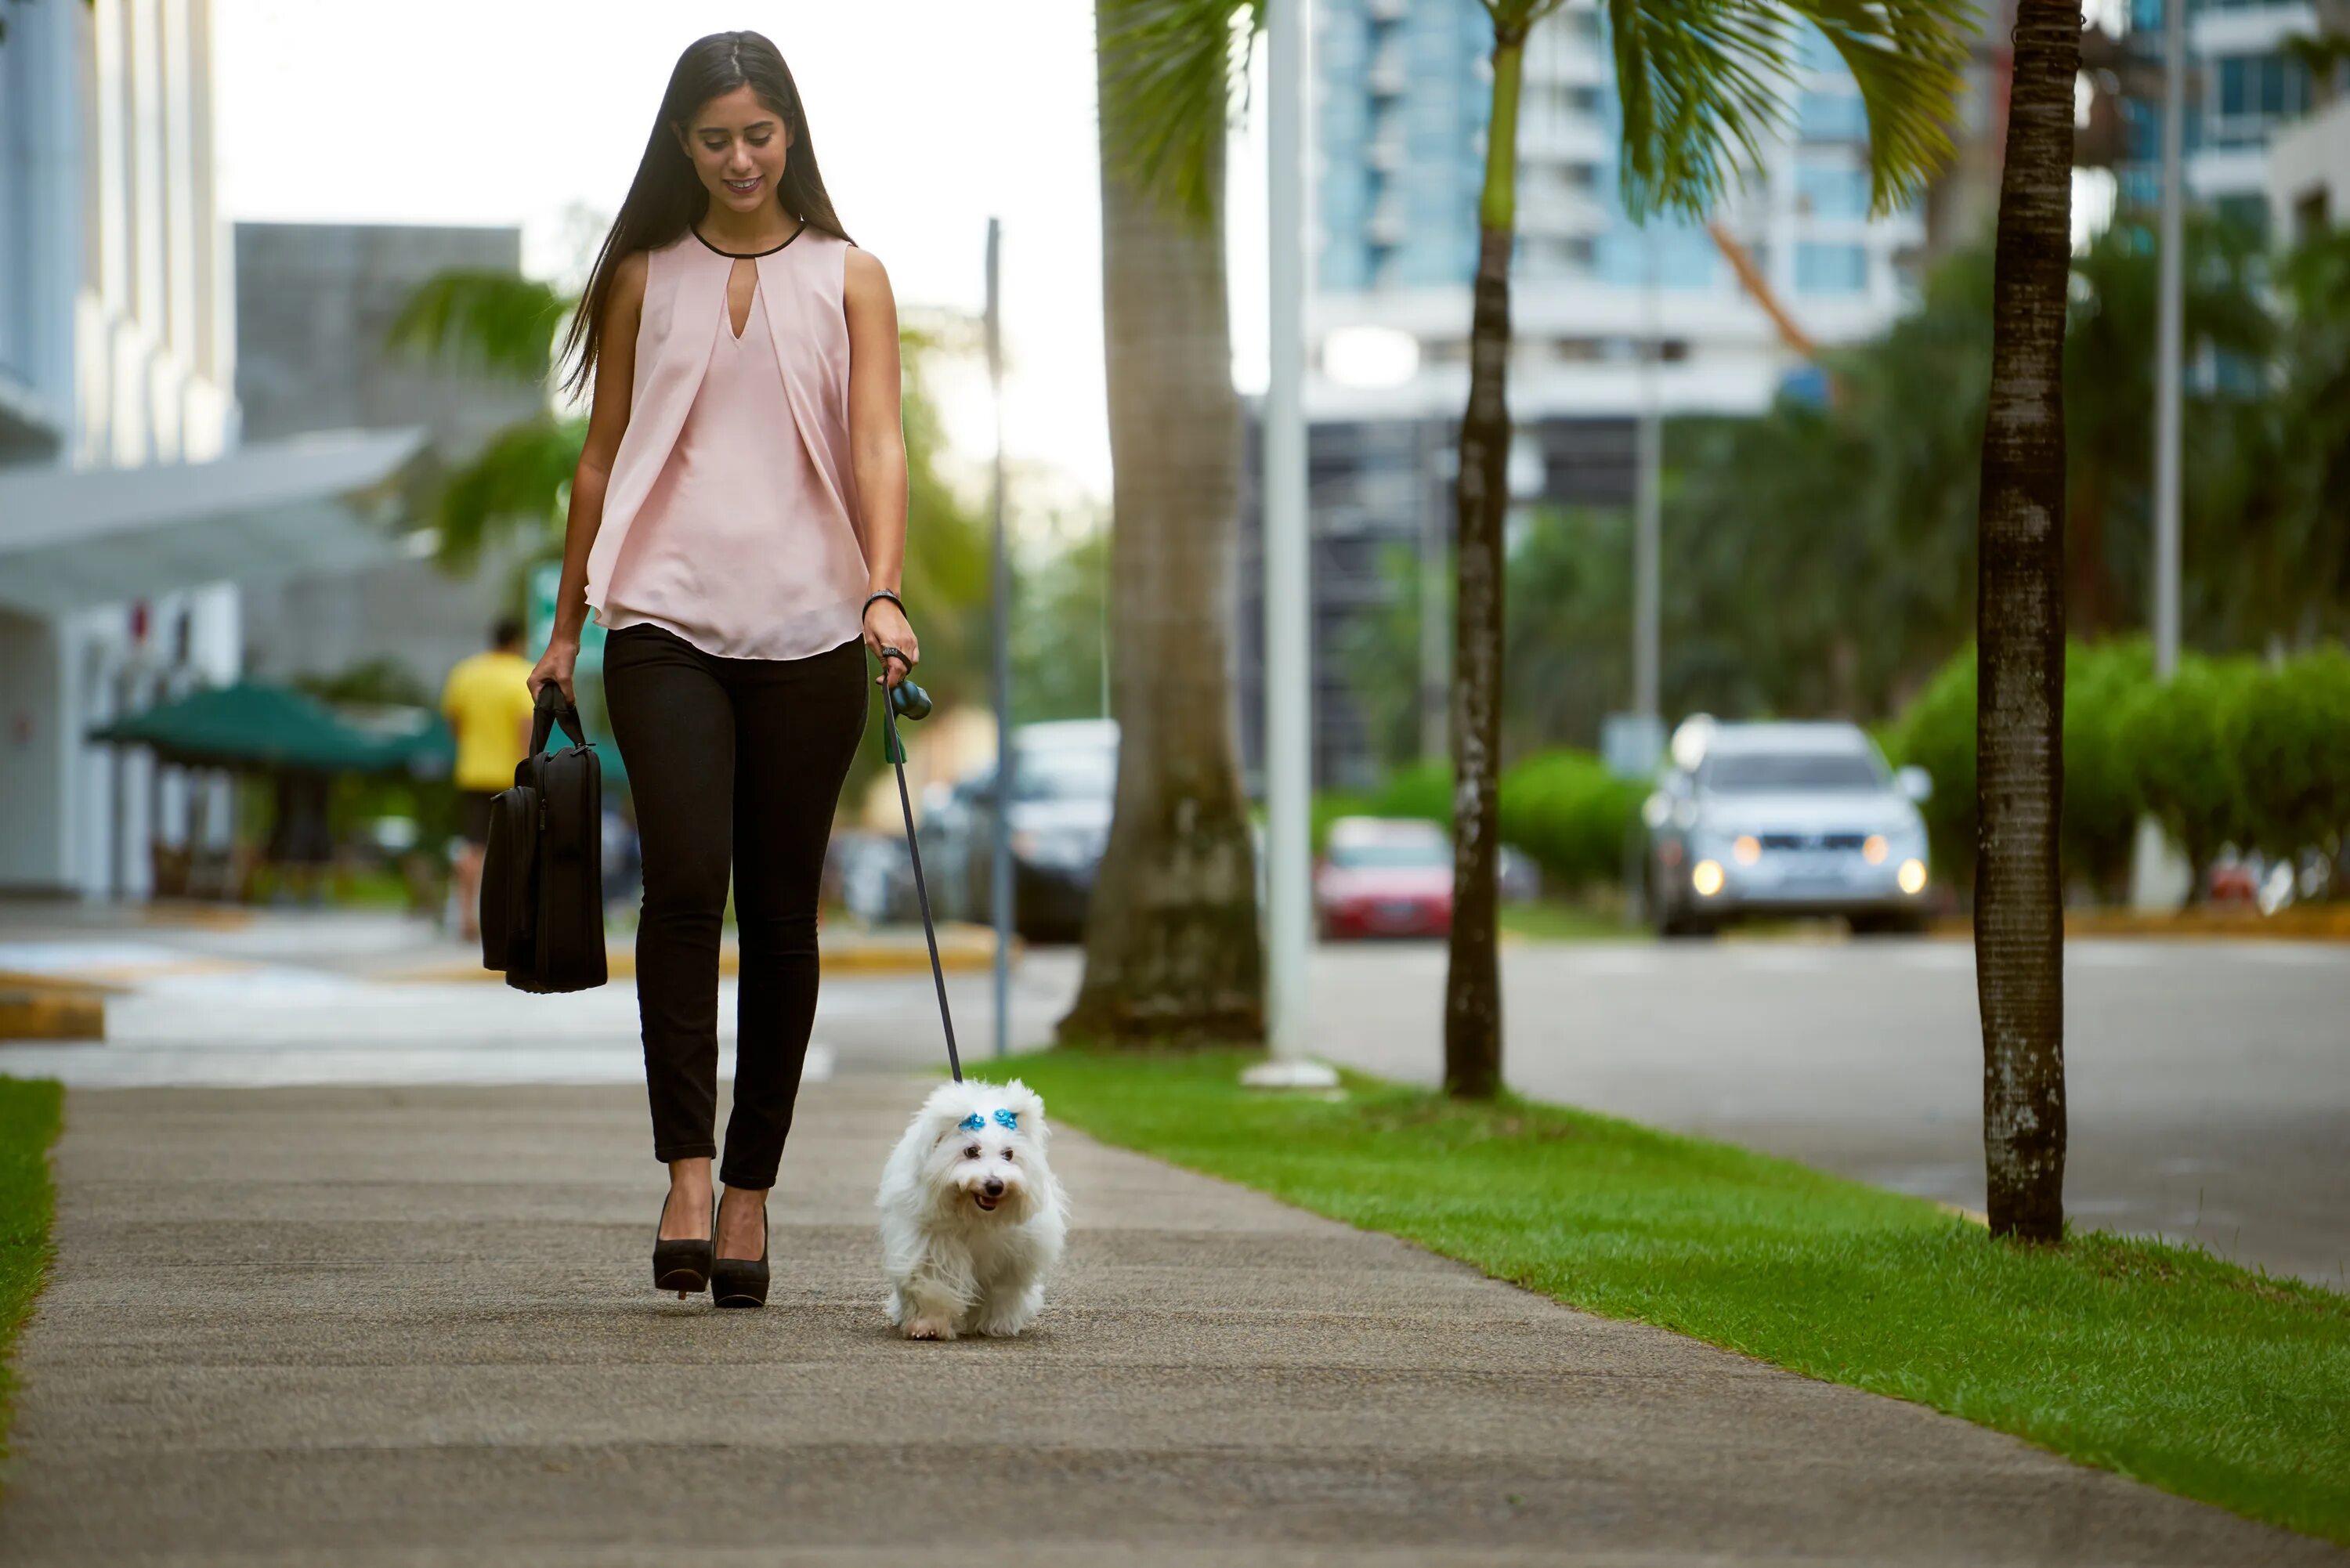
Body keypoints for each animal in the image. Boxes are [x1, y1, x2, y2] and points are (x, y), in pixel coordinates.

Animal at [879, 1086, 1072, 1344]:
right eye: (971, 1151)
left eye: (1009, 1154)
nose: (995, 1185)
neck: (975, 1215)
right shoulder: (931, 1248)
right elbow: (932, 1286)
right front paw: (928, 1326)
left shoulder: (1010, 1259)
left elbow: (1001, 1292)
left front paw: (995, 1325)